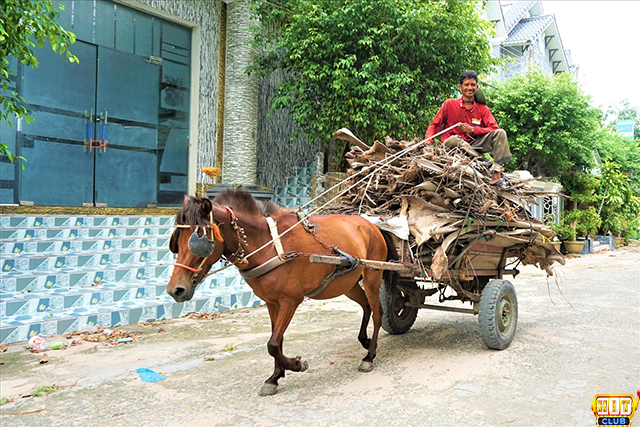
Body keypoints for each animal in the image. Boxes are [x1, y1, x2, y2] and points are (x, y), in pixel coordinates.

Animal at [165, 191, 396, 398]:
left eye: (198, 238)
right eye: (175, 240)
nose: (175, 290)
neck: (268, 245)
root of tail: (371, 225)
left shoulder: (290, 301)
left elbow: (273, 344)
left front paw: (296, 364)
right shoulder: (272, 302)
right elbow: (278, 340)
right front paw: (275, 377)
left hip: (372, 277)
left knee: (377, 312)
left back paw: (370, 355)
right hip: (347, 283)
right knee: (366, 306)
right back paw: (364, 340)